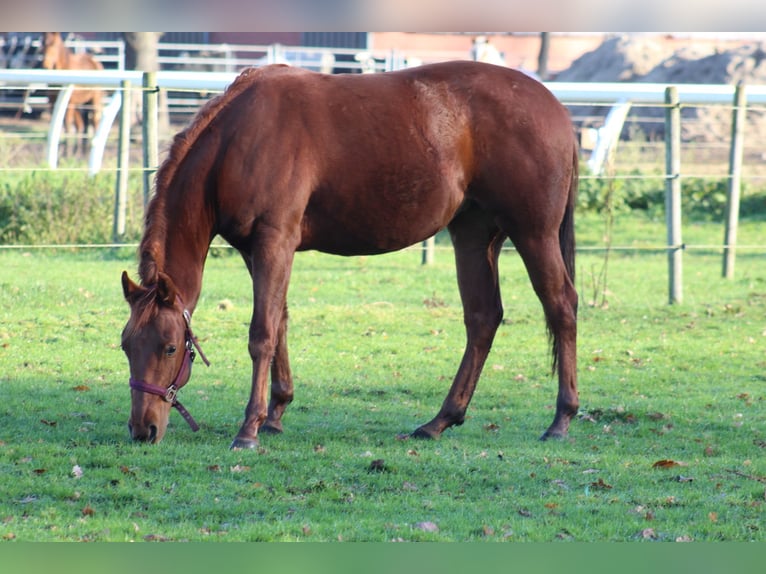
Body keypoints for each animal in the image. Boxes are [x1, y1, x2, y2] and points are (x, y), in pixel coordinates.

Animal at [120, 63, 580, 450]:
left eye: (170, 348)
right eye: (126, 346)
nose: (143, 430)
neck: (238, 138)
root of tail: (555, 108)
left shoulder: (274, 242)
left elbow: (261, 333)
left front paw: (249, 429)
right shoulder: (257, 251)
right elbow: (280, 322)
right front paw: (277, 413)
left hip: (534, 235)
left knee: (561, 307)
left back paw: (561, 419)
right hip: (473, 234)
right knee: (483, 318)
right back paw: (441, 420)